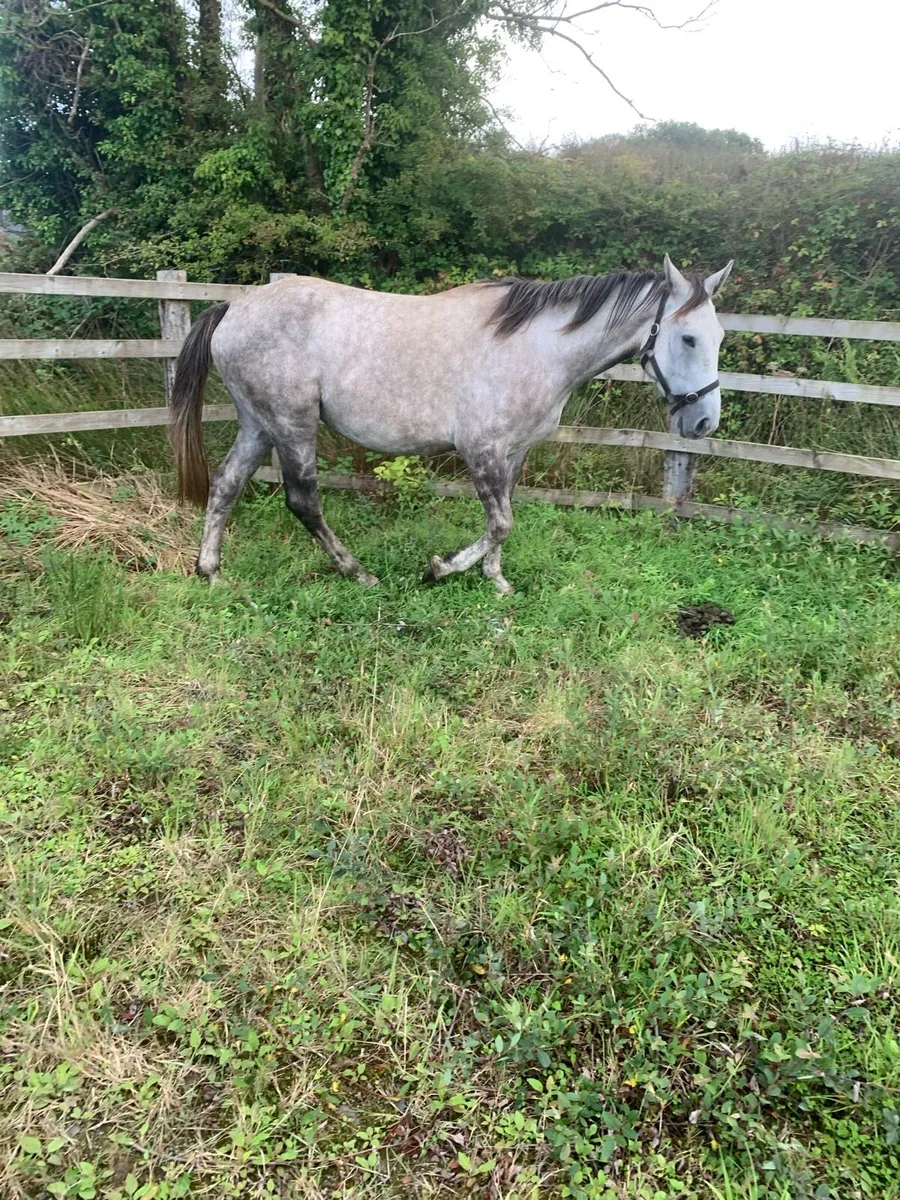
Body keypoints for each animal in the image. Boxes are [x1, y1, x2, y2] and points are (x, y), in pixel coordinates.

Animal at [170, 254, 732, 594]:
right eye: (688, 338)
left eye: (720, 336)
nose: (704, 421)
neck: (537, 347)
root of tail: (233, 308)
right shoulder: (481, 449)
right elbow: (502, 521)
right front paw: (441, 568)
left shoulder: (513, 452)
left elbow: (502, 518)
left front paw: (495, 580)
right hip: (291, 424)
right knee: (303, 501)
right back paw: (359, 573)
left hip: (258, 423)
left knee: (225, 484)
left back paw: (210, 571)